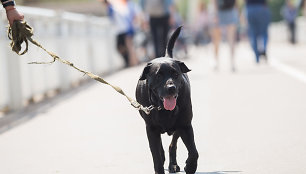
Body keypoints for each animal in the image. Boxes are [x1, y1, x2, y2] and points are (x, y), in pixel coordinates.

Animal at [136, 26, 198, 173]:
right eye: (158, 75)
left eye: (176, 74)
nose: (171, 88)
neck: (163, 108)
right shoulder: (151, 129)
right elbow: (156, 157)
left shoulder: (185, 125)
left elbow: (194, 152)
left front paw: (190, 166)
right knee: (161, 150)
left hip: (178, 127)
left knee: (172, 145)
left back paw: (173, 165)